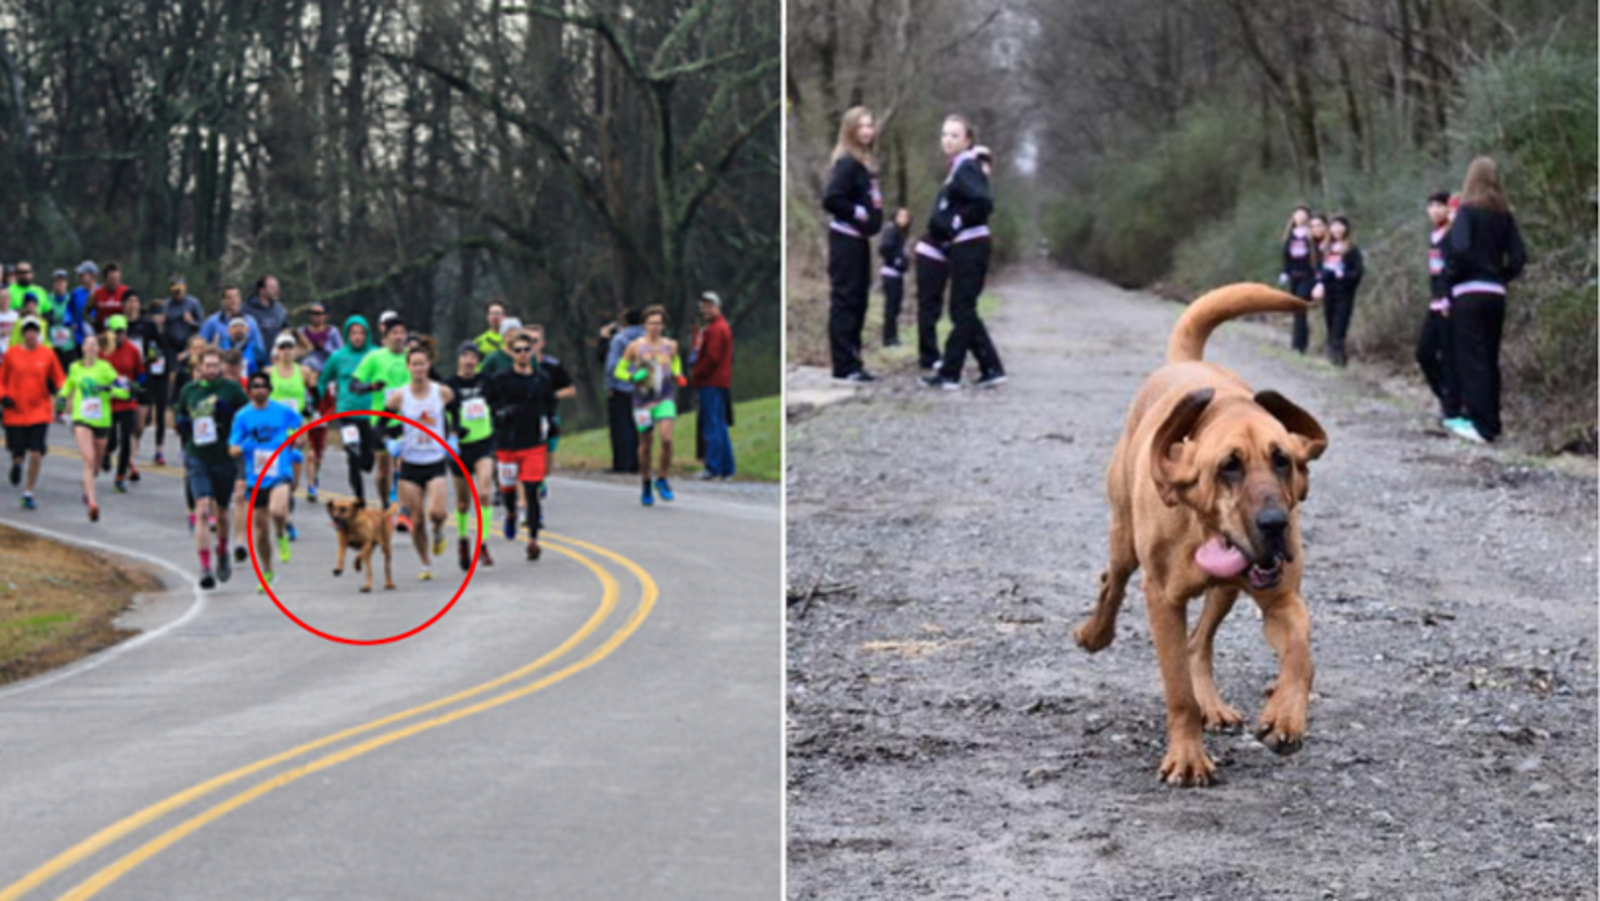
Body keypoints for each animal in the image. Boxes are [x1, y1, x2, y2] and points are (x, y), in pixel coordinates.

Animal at [1081, 284, 1331, 787]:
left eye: (1282, 460)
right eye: (1228, 467)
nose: (1274, 524)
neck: (1202, 527)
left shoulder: (1282, 601)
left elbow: (1300, 651)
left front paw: (1285, 717)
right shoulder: (1162, 600)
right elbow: (1178, 690)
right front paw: (1187, 758)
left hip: (1226, 591)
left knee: (1199, 642)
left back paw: (1213, 706)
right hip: (1124, 541)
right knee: (1111, 584)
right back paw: (1094, 633)